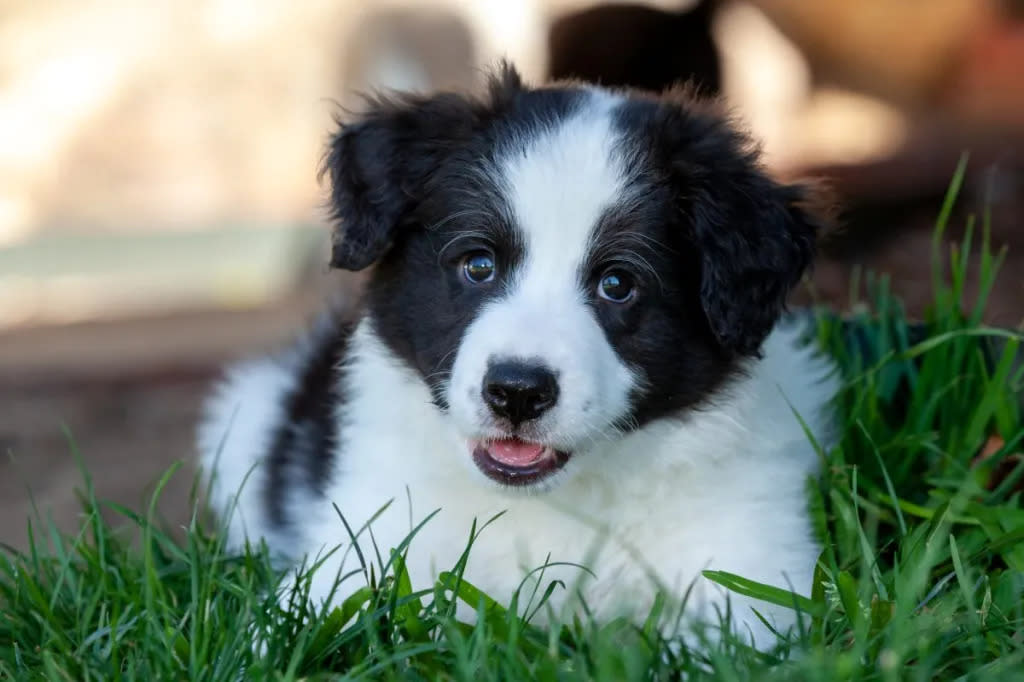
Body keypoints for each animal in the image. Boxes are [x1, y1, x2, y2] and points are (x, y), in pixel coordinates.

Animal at [197, 66, 839, 647]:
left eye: (617, 284)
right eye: (479, 264)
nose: (517, 393)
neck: (555, 504)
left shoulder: (751, 570)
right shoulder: (363, 543)